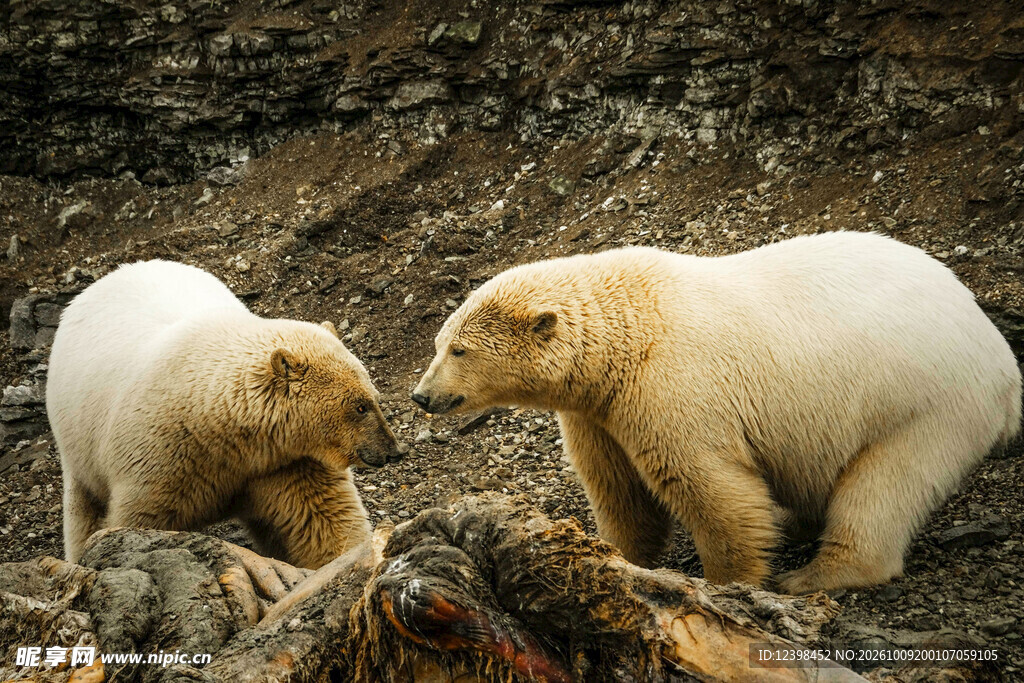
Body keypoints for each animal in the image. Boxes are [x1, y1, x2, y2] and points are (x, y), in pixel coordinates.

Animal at [46, 259, 401, 568]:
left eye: (375, 398)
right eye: (360, 406)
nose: (393, 450)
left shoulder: (282, 461)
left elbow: (321, 515)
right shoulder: (163, 457)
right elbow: (139, 517)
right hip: (78, 437)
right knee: (82, 506)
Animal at [411, 231, 1022, 593]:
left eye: (458, 350)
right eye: (439, 343)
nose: (422, 395)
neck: (629, 330)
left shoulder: (674, 387)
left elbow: (710, 488)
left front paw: (730, 583)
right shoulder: (597, 409)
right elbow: (618, 488)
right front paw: (615, 554)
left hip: (925, 403)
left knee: (885, 484)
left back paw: (815, 574)